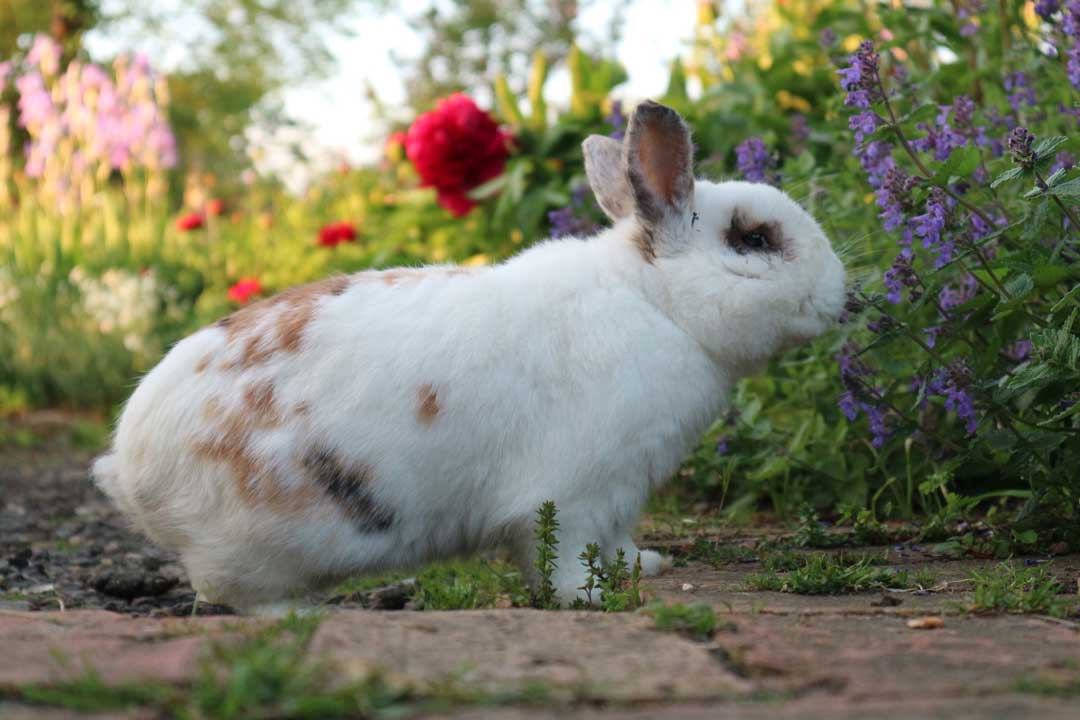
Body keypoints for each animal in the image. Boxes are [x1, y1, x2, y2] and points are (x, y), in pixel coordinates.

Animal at [92, 100, 846, 613]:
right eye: (754, 239)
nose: (841, 295)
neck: (656, 301)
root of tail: (127, 468)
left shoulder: (623, 493)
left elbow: (615, 541)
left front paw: (642, 567)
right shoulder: (573, 491)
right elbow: (560, 553)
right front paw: (587, 599)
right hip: (259, 545)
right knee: (242, 596)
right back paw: (305, 614)